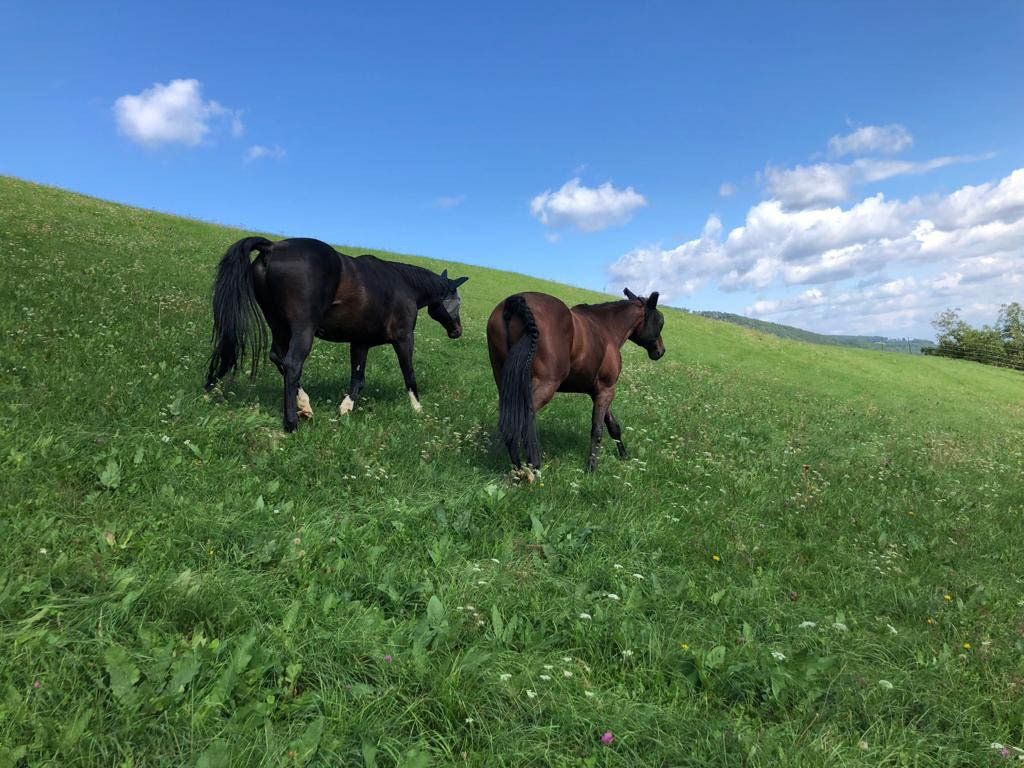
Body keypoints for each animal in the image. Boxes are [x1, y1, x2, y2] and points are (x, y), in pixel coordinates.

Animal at [205, 236, 468, 432]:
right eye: (457, 301)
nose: (457, 331)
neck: (404, 285)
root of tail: (273, 247)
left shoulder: (360, 343)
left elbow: (358, 378)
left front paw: (345, 408)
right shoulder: (404, 339)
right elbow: (409, 374)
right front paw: (417, 409)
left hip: (278, 326)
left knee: (277, 357)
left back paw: (304, 405)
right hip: (302, 329)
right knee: (292, 364)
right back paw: (292, 423)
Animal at [486, 288, 665, 472]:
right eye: (660, 323)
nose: (660, 351)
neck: (607, 328)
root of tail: (516, 302)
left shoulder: (598, 392)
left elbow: (613, 426)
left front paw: (624, 456)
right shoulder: (607, 390)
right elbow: (598, 429)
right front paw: (592, 467)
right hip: (544, 386)